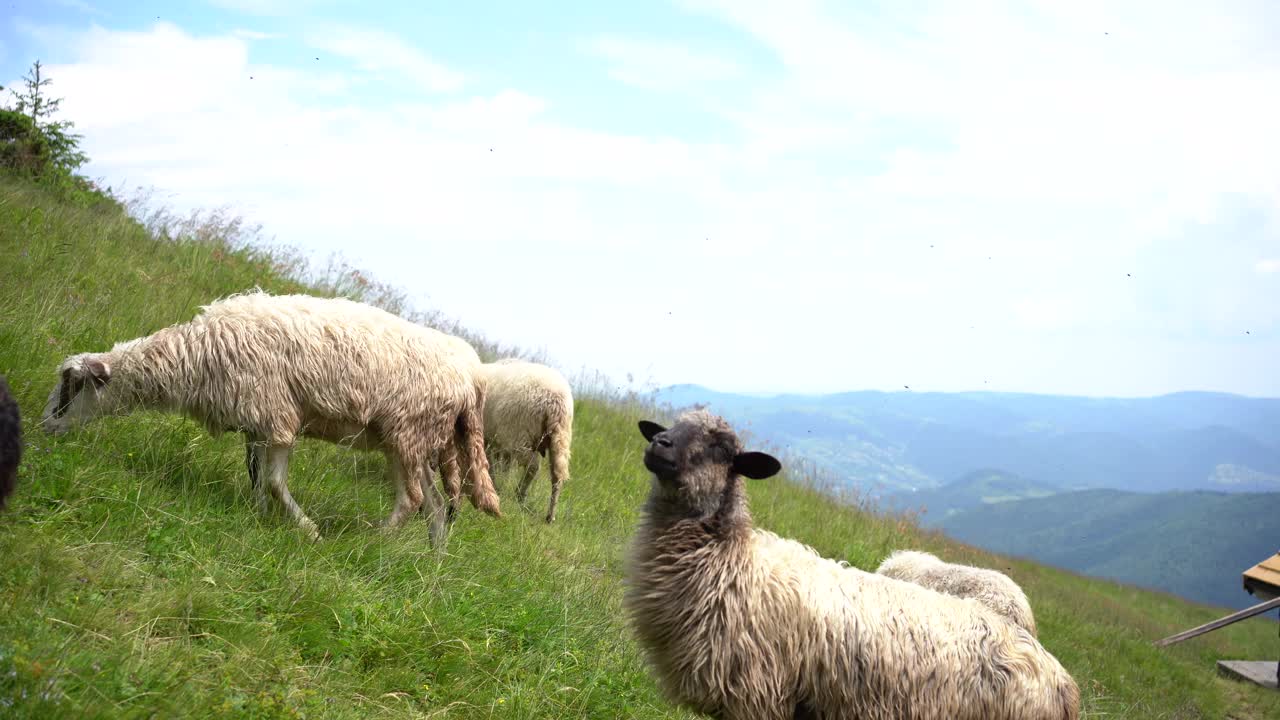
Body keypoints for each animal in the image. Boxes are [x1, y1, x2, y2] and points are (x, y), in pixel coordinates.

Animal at [40, 288, 501, 540]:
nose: (45, 427)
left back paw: (371, 542)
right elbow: (258, 478)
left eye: (71, 386)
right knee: (436, 507)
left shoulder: (277, 416)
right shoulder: (256, 424)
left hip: (408, 434)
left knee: (414, 500)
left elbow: (277, 483)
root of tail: (472, 375)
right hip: (412, 442)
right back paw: (432, 562)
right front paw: (257, 517)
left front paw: (310, 532)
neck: (193, 358)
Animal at [440, 358, 576, 520]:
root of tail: (556, 400)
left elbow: (492, 465)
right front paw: (498, 486)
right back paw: (550, 515)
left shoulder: (492, 440)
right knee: (557, 476)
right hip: (560, 438)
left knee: (533, 466)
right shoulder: (498, 443)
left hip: (520, 435)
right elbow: (501, 467)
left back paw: (521, 494)